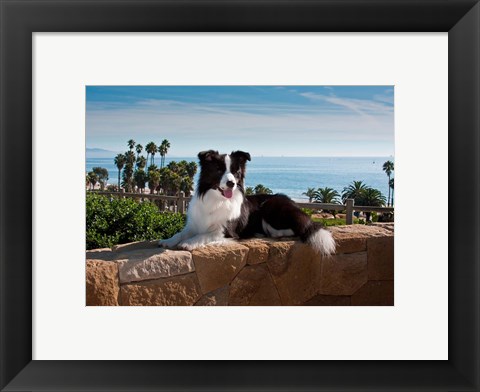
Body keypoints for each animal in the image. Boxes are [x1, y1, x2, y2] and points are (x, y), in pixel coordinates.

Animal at [159, 149, 336, 256]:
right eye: (219, 170)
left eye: (236, 172)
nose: (231, 183)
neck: (217, 200)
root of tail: (292, 203)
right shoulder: (194, 224)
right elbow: (180, 233)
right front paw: (169, 241)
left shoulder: (225, 231)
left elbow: (204, 235)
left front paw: (188, 243)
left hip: (271, 207)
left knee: (297, 228)